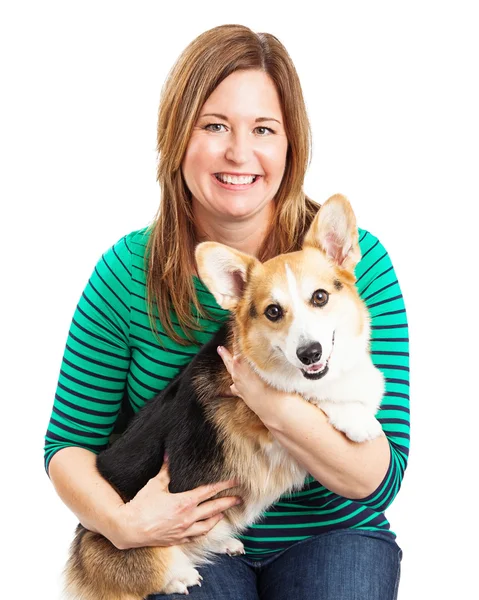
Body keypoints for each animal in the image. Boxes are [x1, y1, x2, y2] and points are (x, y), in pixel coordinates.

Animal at [64, 195, 386, 596]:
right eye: (273, 311)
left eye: (320, 297)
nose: (309, 353)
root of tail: (83, 539)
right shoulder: (255, 410)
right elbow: (304, 396)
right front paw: (356, 418)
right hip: (124, 534)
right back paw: (178, 574)